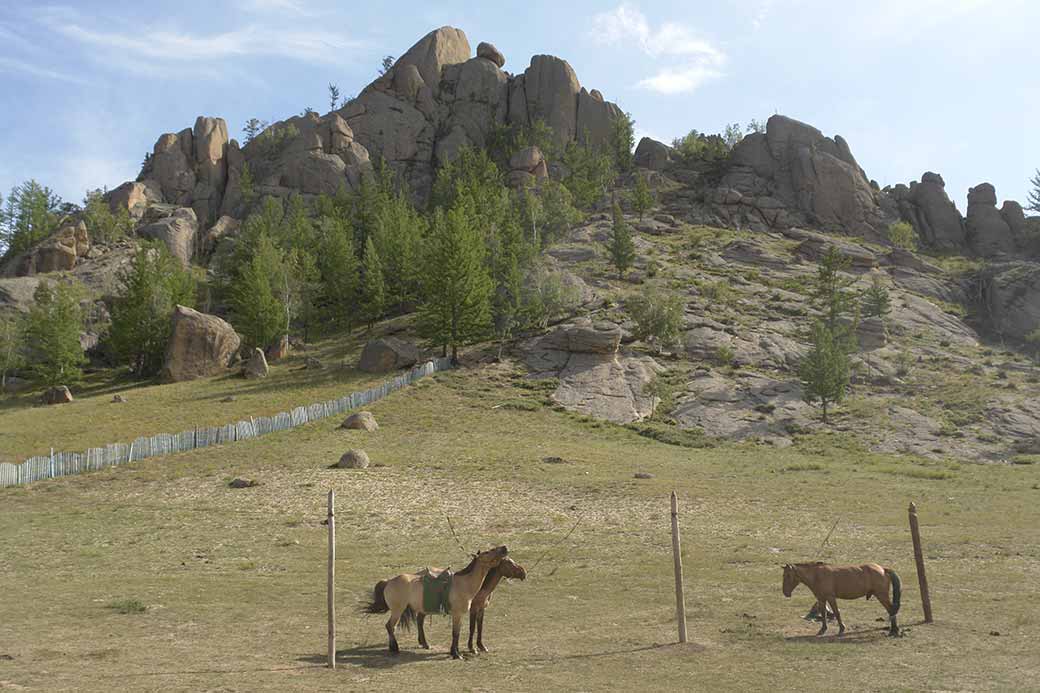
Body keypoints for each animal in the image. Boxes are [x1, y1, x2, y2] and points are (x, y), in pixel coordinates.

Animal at [363, 546, 508, 659]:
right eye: (487, 552)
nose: (504, 548)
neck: (464, 583)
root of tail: (389, 582)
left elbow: (457, 633)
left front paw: (455, 652)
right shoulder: (457, 614)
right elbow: (455, 633)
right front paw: (456, 654)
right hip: (398, 610)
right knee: (390, 626)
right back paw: (395, 648)